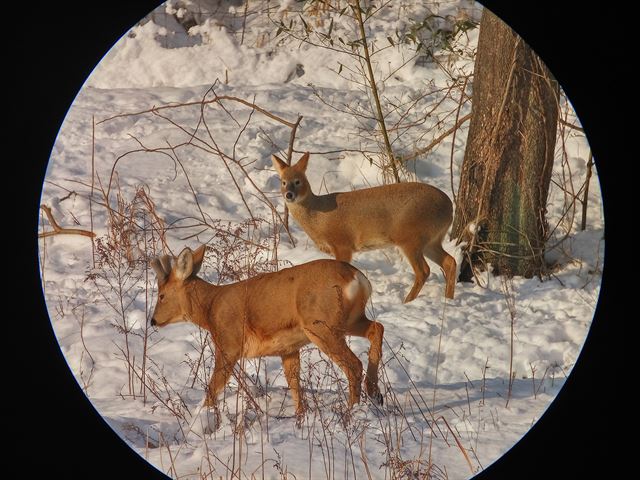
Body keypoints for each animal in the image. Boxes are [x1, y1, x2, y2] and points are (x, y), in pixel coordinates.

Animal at [150, 244, 382, 428]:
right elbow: (294, 384)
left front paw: (199, 421)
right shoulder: (289, 349)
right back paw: (374, 393)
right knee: (377, 328)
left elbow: (213, 387)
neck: (210, 309)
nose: (153, 320)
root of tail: (358, 279)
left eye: (161, 295)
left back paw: (352, 412)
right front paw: (300, 418)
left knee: (354, 364)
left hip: (321, 325)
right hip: (348, 320)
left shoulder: (228, 344)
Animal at [272, 153, 458, 304]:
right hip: (431, 240)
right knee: (450, 261)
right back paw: (448, 299)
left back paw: (407, 302)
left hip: (411, 237)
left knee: (424, 270)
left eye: (298, 181)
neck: (319, 217)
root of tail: (449, 207)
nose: (289, 194)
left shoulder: (342, 243)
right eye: (283, 182)